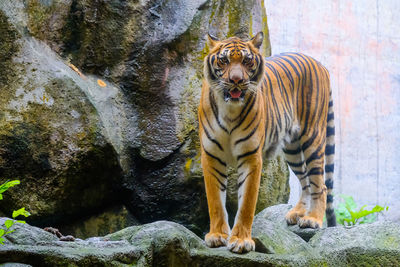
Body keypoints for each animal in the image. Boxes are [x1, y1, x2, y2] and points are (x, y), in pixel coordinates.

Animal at [198, 31, 336, 255]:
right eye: (224, 60)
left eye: (247, 61)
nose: (236, 80)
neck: (230, 110)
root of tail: (319, 63)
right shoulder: (211, 156)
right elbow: (215, 201)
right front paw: (217, 236)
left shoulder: (251, 157)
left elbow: (246, 204)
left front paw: (241, 241)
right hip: (293, 149)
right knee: (305, 181)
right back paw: (297, 213)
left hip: (312, 138)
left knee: (320, 184)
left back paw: (312, 219)